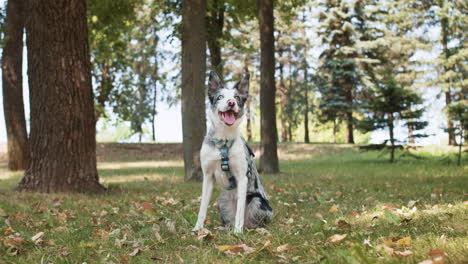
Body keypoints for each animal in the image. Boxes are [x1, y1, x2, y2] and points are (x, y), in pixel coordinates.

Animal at [193, 70, 274, 233]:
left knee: (252, 222)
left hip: (257, 202)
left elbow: (240, 212)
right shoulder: (208, 176)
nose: (231, 102)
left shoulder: (242, 178)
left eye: (237, 97)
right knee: (229, 221)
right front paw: (198, 228)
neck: (223, 141)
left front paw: (238, 231)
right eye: (220, 97)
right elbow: (202, 207)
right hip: (221, 200)